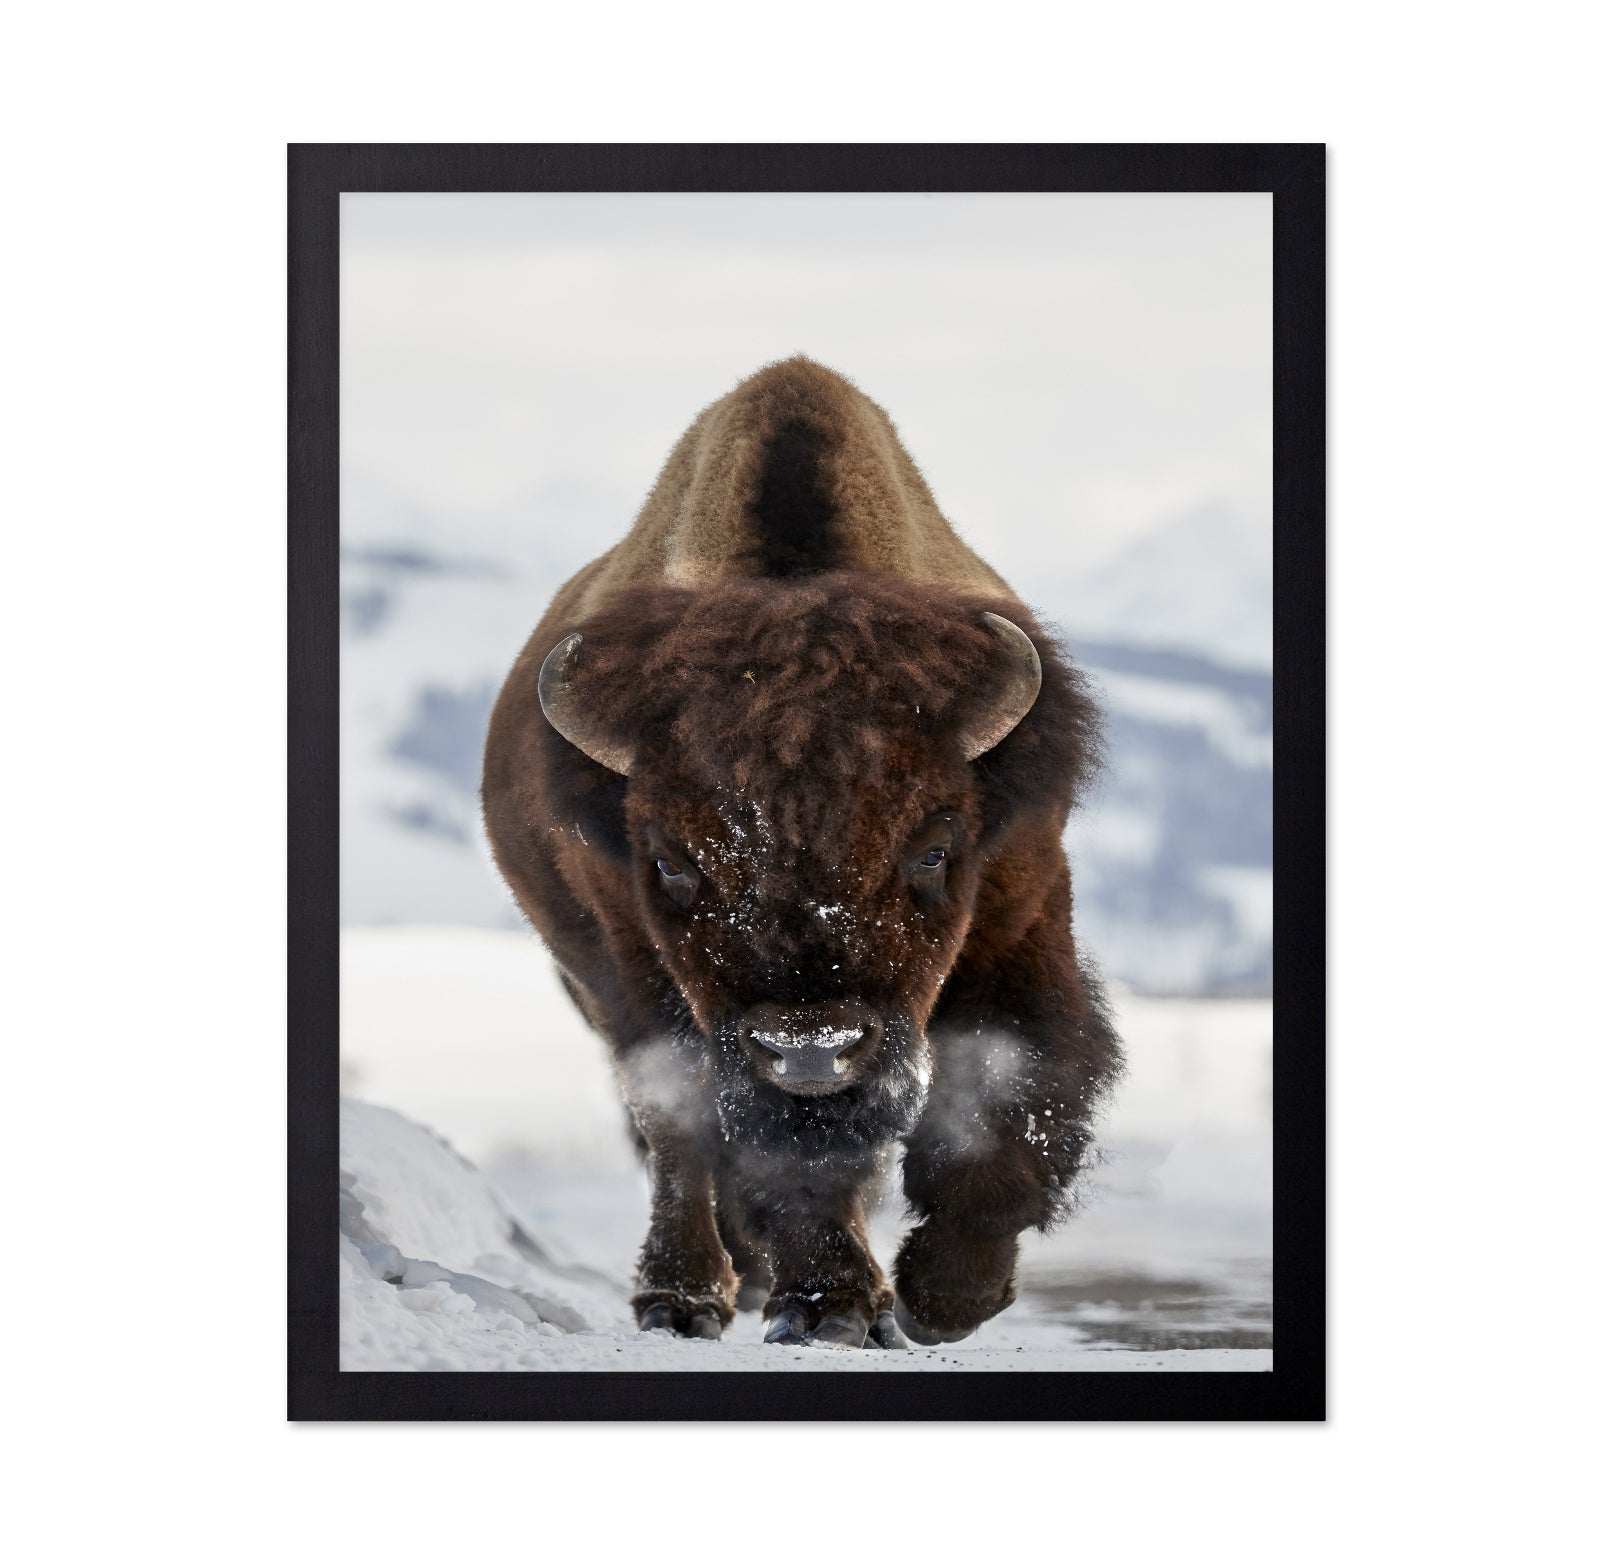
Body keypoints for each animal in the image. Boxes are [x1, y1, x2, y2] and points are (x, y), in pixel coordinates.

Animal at [482, 357, 1122, 1349]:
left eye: (936, 848)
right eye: (671, 861)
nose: (812, 1050)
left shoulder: (1020, 913)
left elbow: (1011, 1085)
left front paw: (945, 1297)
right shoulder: (643, 969)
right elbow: (756, 1148)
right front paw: (830, 1305)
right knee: (676, 1134)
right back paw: (686, 1296)